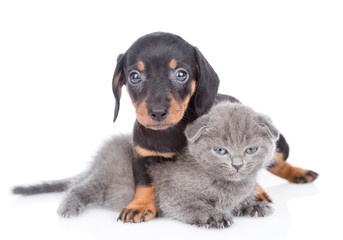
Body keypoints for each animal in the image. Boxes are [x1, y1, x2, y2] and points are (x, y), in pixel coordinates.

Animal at [13, 101, 280, 229]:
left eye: (251, 150)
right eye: (220, 151)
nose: (237, 165)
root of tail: (98, 157)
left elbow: (238, 202)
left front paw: (252, 205)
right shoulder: (174, 196)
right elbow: (197, 206)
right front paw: (216, 217)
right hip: (104, 178)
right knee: (78, 188)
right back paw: (69, 207)